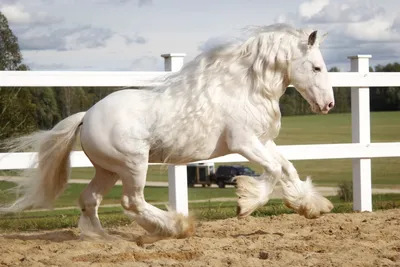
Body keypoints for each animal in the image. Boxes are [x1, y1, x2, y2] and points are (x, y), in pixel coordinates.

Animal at [0, 24, 334, 246]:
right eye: (317, 67)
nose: (328, 104)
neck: (243, 88)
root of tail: (86, 116)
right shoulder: (244, 143)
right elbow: (275, 170)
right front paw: (245, 203)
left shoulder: (263, 141)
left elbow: (288, 168)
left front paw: (312, 207)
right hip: (133, 165)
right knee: (132, 201)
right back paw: (175, 227)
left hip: (108, 170)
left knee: (90, 198)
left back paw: (105, 238)